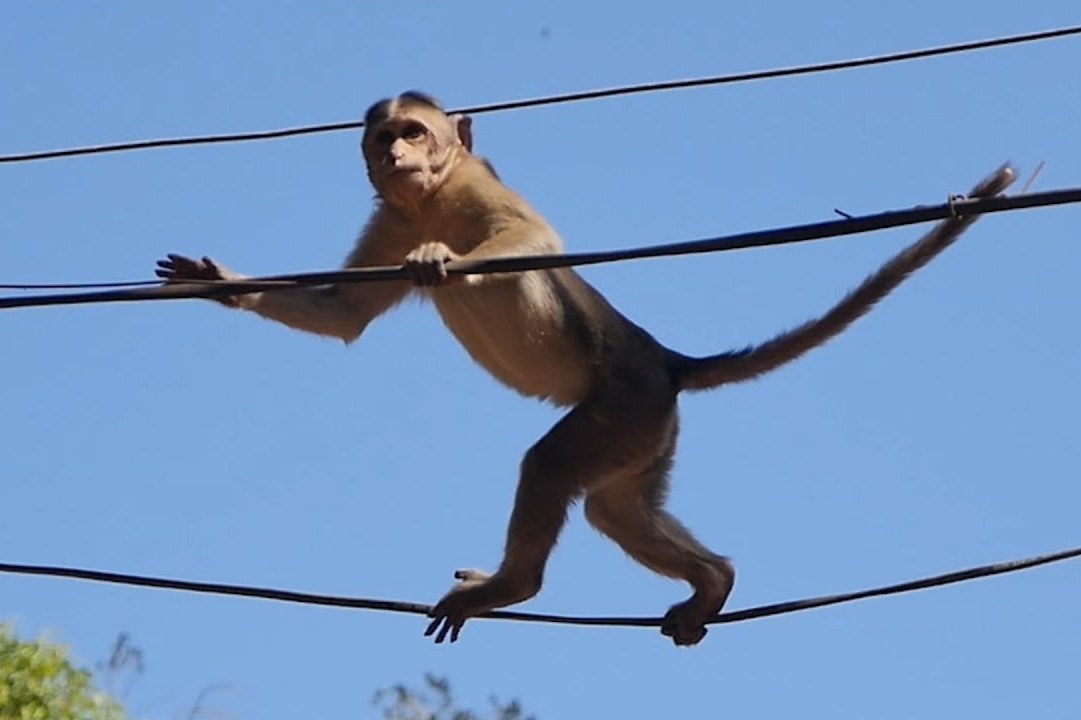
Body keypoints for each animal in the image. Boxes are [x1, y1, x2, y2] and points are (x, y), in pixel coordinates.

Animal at [156, 91, 1016, 644]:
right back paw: (712, 583)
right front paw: (220, 284)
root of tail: (666, 361)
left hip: (621, 406)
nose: (398, 153)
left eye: (415, 132)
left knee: (549, 468)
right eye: (384, 139)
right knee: (614, 509)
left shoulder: (474, 188)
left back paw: (514, 588)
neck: (428, 201)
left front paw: (439, 259)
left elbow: (531, 237)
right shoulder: (390, 217)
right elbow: (342, 313)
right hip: (647, 435)